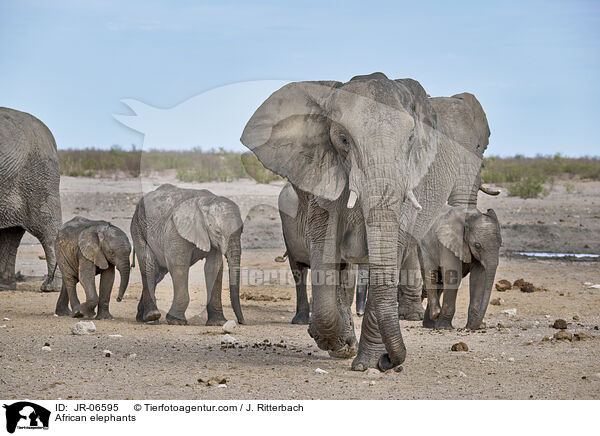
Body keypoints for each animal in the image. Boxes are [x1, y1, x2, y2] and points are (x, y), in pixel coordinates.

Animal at [130, 184, 245, 328]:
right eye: (217, 232)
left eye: (242, 231)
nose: (242, 322)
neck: (206, 202)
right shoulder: (176, 230)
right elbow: (179, 266)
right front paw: (176, 321)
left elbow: (213, 268)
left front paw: (218, 323)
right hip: (138, 227)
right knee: (149, 266)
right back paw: (152, 315)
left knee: (157, 274)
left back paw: (143, 318)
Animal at [241, 71, 490, 372]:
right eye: (343, 139)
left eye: (410, 139)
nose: (389, 362)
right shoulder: (323, 170)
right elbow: (324, 244)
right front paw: (338, 344)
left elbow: (390, 250)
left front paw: (366, 362)